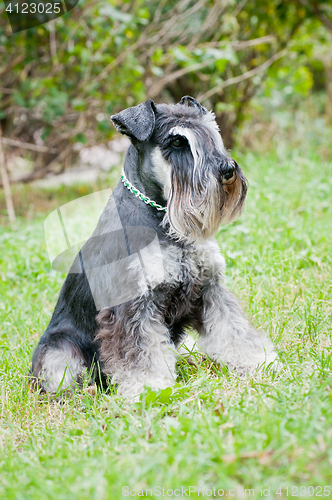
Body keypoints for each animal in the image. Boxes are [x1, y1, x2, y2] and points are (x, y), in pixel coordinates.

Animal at [31, 96, 276, 398]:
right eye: (177, 141)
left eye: (212, 132)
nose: (227, 170)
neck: (163, 218)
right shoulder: (133, 305)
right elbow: (140, 351)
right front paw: (150, 388)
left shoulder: (210, 288)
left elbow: (232, 328)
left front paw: (258, 360)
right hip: (59, 349)